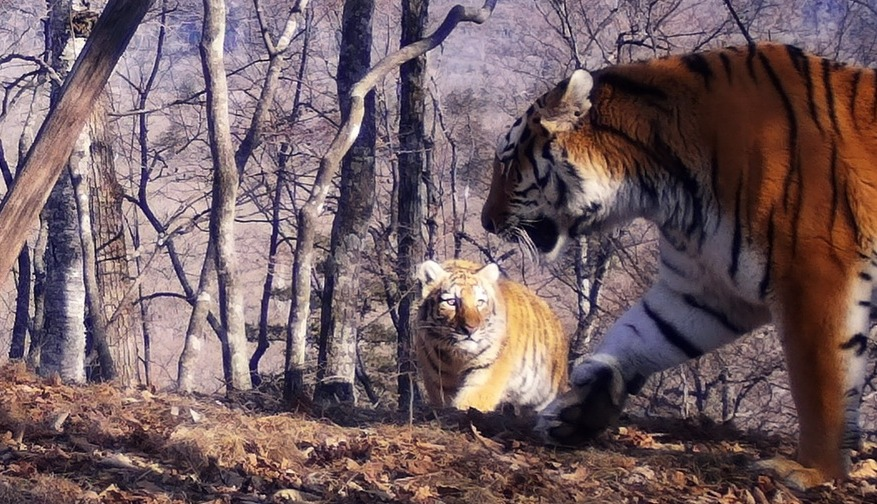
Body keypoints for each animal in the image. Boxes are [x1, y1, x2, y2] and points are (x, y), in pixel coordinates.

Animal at [416, 260, 568, 414]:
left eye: (480, 302)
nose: (470, 329)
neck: (456, 358)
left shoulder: (484, 378)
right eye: (451, 302)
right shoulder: (439, 383)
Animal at [480, 44, 876, 488]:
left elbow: (821, 383)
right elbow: (640, 333)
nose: (485, 221)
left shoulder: (814, 274)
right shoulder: (705, 288)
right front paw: (580, 410)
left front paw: (810, 470)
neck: (662, 185)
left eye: (507, 164)